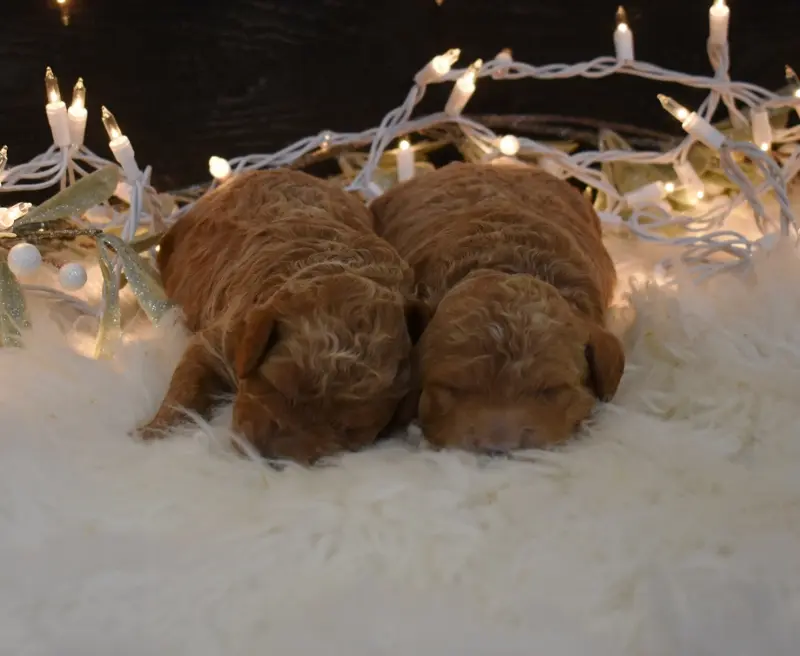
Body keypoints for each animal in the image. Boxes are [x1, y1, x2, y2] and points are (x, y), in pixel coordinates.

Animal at [138, 169, 427, 464]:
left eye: (352, 429)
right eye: (278, 386)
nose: (271, 459)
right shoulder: (219, 338)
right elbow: (185, 388)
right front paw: (151, 435)